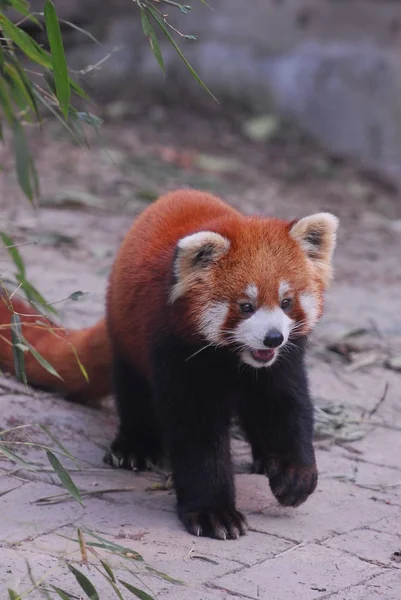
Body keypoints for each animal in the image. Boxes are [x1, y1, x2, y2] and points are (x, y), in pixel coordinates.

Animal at [0, 190, 338, 540]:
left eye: (286, 302)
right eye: (246, 306)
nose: (272, 338)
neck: (235, 359)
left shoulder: (283, 361)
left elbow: (287, 407)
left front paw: (294, 476)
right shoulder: (177, 350)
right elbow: (196, 432)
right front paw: (213, 512)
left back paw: (261, 458)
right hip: (128, 337)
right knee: (133, 393)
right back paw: (133, 448)